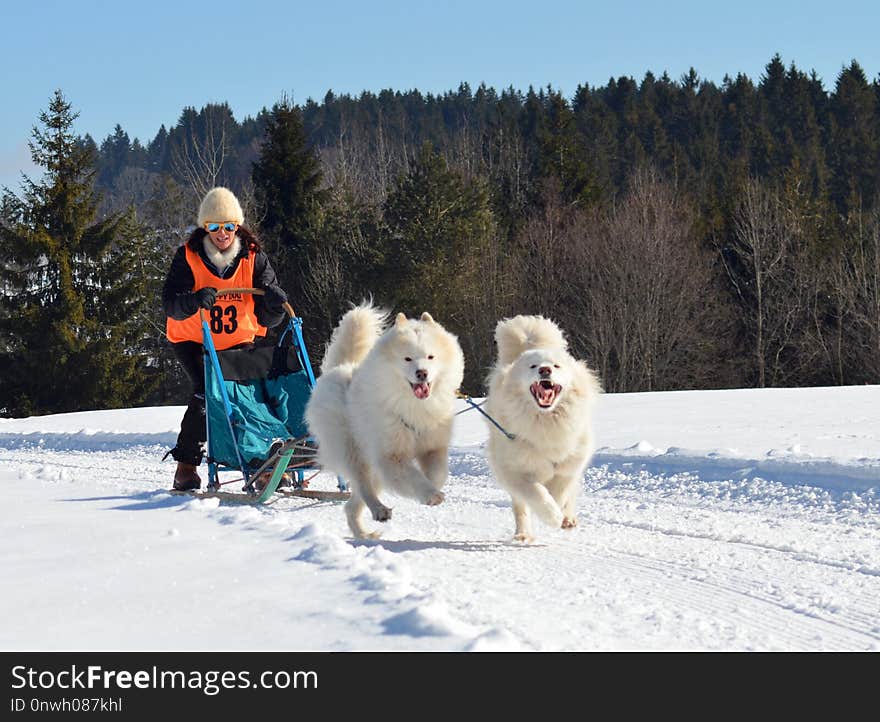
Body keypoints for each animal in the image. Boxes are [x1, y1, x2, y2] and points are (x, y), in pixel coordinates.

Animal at [304, 300, 464, 536]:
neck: (413, 405)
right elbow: (413, 476)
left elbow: (438, 474)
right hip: (353, 450)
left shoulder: (432, 446)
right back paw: (378, 510)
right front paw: (430, 494)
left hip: (372, 466)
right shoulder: (391, 455)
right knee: (363, 486)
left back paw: (364, 532)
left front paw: (431, 487)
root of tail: (338, 368)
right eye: (407, 358)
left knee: (351, 504)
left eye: (430, 356)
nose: (422, 373)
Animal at [484, 316, 600, 540]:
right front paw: (552, 516)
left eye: (556, 366)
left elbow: (561, 491)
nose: (545, 370)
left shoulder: (570, 464)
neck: (547, 421)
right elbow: (537, 494)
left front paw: (561, 515)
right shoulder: (516, 470)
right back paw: (523, 535)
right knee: (520, 508)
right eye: (533, 366)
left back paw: (569, 519)